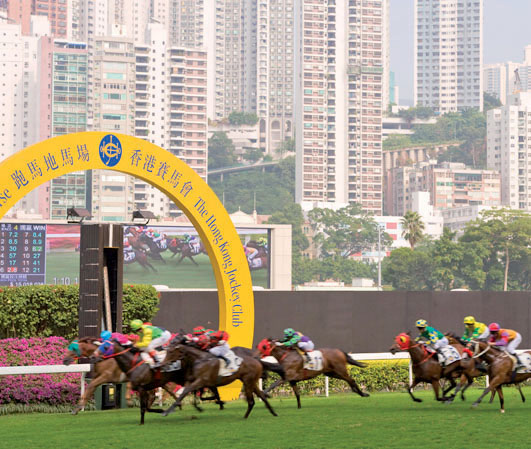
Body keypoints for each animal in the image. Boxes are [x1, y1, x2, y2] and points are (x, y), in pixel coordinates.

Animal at [90, 340, 223, 424]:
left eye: (105, 347)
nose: (93, 356)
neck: (134, 364)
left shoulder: (142, 388)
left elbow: (143, 408)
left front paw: (142, 422)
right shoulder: (146, 388)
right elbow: (147, 407)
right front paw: (162, 410)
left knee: (204, 387)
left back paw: (215, 402)